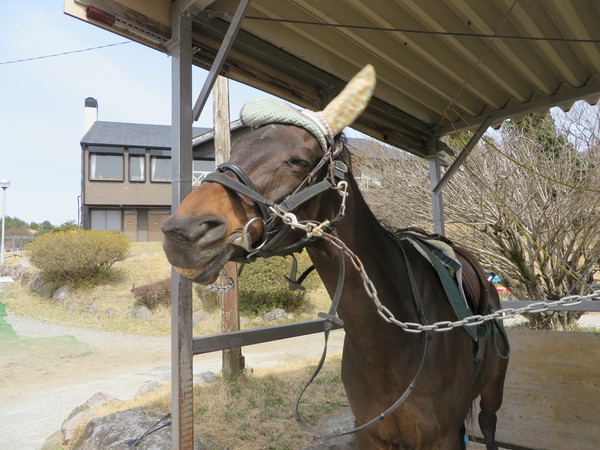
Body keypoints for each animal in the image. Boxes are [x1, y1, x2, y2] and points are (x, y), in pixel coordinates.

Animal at [162, 65, 508, 448]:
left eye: (298, 160)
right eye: (232, 151)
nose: (182, 231)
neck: (392, 341)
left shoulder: (441, 436)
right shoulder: (371, 435)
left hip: (493, 390)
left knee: (489, 423)